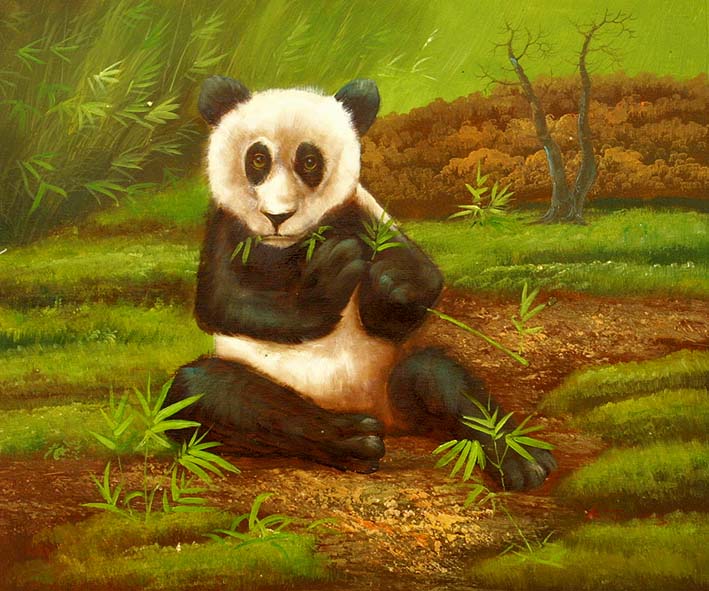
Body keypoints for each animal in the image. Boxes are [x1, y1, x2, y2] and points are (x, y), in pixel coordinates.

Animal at [165, 76, 556, 490]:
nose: (277, 217)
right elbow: (221, 303)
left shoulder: (363, 215)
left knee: (436, 375)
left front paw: (388, 284)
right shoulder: (226, 225)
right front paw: (330, 278)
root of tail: (371, 413)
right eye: (258, 159)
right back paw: (352, 440)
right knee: (213, 392)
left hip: (391, 387)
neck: (290, 248)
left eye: (309, 161)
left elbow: (420, 284)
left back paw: (522, 459)